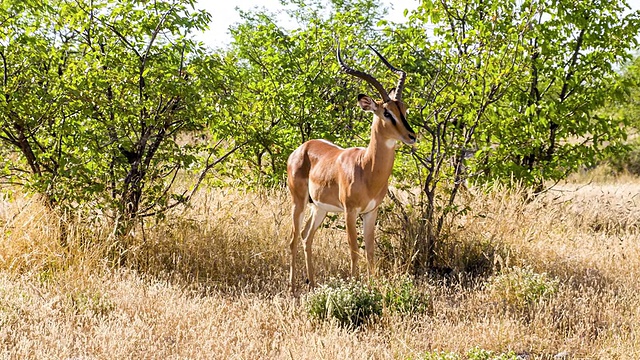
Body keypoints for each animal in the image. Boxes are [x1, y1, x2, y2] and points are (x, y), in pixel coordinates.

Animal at [288, 43, 418, 292]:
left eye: (404, 108)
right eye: (386, 112)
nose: (412, 136)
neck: (367, 168)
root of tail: (302, 147)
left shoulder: (370, 211)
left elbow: (370, 250)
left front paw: (372, 286)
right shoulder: (350, 211)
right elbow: (354, 248)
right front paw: (356, 287)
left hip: (319, 208)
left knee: (307, 237)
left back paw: (313, 283)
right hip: (299, 203)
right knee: (293, 239)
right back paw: (292, 287)